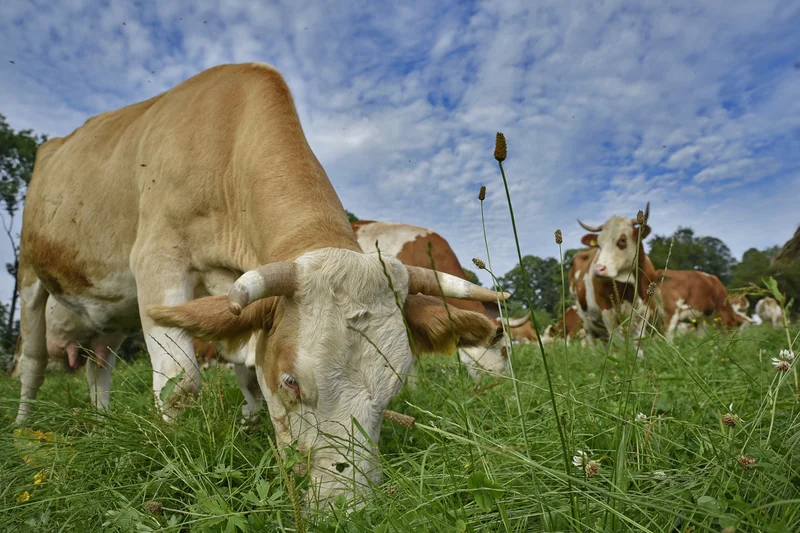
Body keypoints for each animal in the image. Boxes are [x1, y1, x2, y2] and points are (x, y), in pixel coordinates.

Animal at [14, 63, 508, 507]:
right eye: (291, 381)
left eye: (395, 385)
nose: (347, 507)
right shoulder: (157, 259)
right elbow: (181, 384)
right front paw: (171, 461)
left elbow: (248, 373)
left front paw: (249, 427)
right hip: (30, 276)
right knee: (32, 364)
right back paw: (22, 428)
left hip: (110, 316)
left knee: (100, 367)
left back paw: (102, 421)